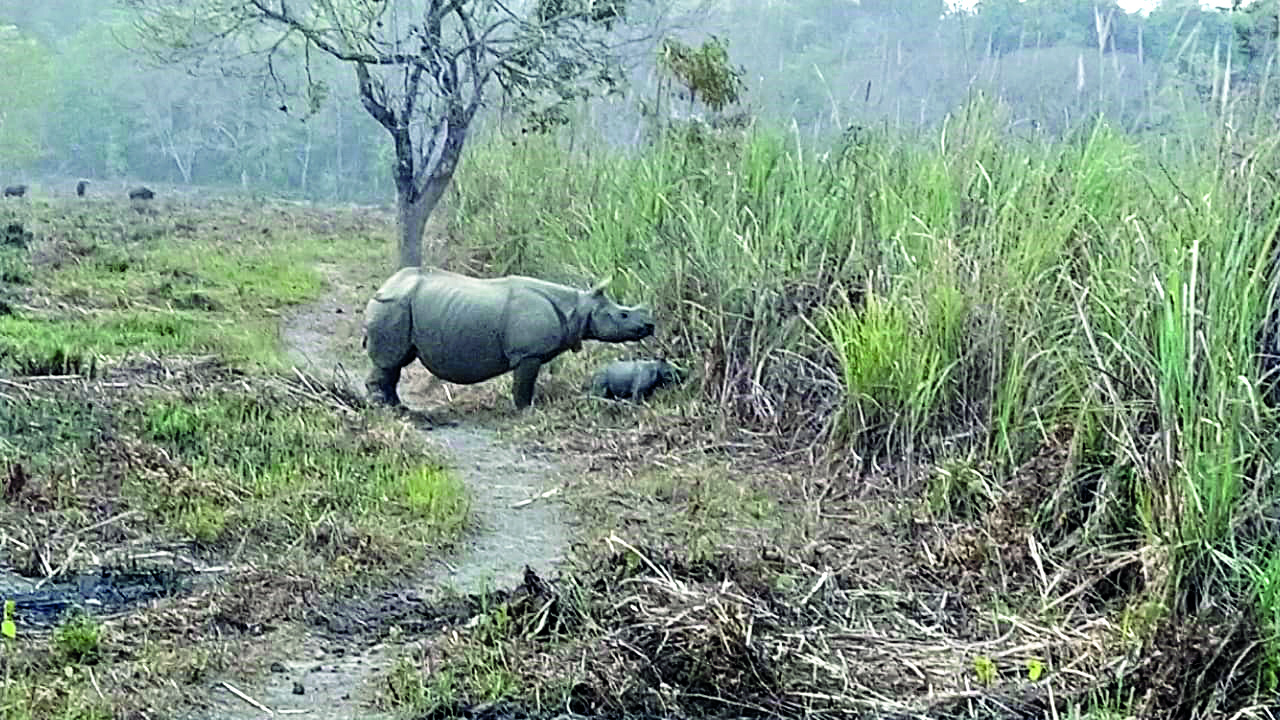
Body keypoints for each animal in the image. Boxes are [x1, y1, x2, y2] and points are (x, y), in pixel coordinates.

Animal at [363, 266, 655, 409]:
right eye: (623, 315)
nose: (650, 325)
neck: (579, 307)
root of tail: (385, 285)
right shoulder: (528, 354)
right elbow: (524, 385)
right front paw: (526, 410)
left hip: (400, 305)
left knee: (397, 361)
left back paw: (396, 406)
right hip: (394, 305)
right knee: (391, 359)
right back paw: (389, 409)